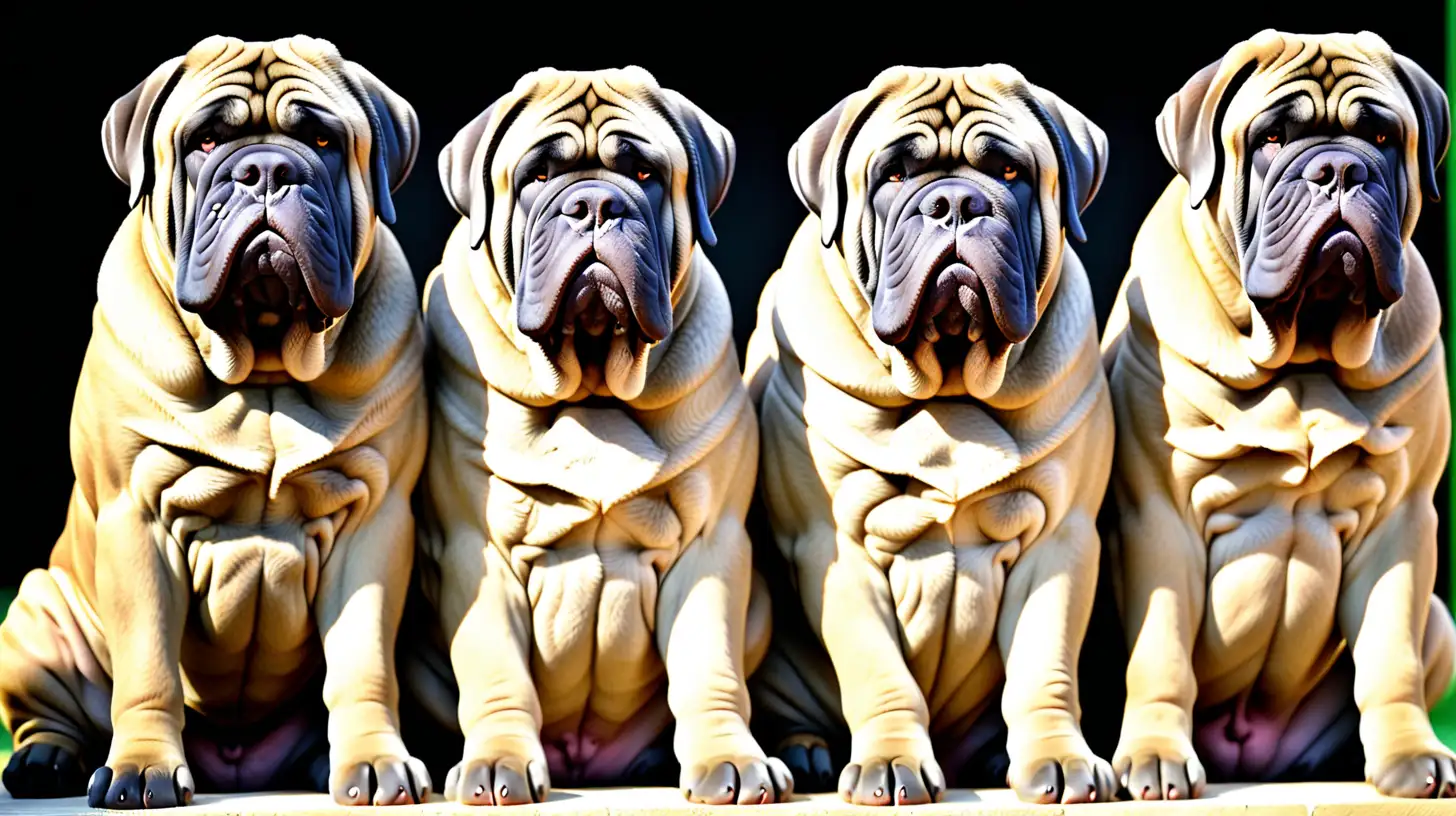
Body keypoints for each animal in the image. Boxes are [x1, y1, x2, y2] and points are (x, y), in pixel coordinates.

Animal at [0, 34, 428, 804]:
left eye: (324, 140)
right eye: (203, 142)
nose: (266, 170)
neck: (265, 368)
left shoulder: (375, 523)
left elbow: (363, 663)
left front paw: (374, 762)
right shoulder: (136, 519)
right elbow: (148, 665)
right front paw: (142, 768)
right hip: (36, 610)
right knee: (50, 713)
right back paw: (45, 760)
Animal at [396, 67, 786, 804]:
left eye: (644, 172)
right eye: (539, 175)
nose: (596, 205)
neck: (594, 388)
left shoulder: (711, 545)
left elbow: (708, 666)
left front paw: (729, 758)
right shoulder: (476, 548)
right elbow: (496, 668)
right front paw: (498, 761)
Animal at [745, 63, 1106, 804]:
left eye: (1008, 171)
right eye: (892, 175)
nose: (955, 203)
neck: (950, 386)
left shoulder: (1061, 539)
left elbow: (1044, 663)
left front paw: (1058, 757)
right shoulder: (836, 545)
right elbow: (877, 670)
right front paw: (891, 761)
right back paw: (807, 752)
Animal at [1100, 28, 1456, 798]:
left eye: (1382, 136)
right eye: (1270, 138)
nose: (1338, 169)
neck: (1305, 358)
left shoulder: (1403, 518)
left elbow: (1391, 654)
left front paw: (1410, 756)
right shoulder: (1160, 516)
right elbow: (1161, 647)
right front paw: (1156, 754)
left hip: (1441, 622)